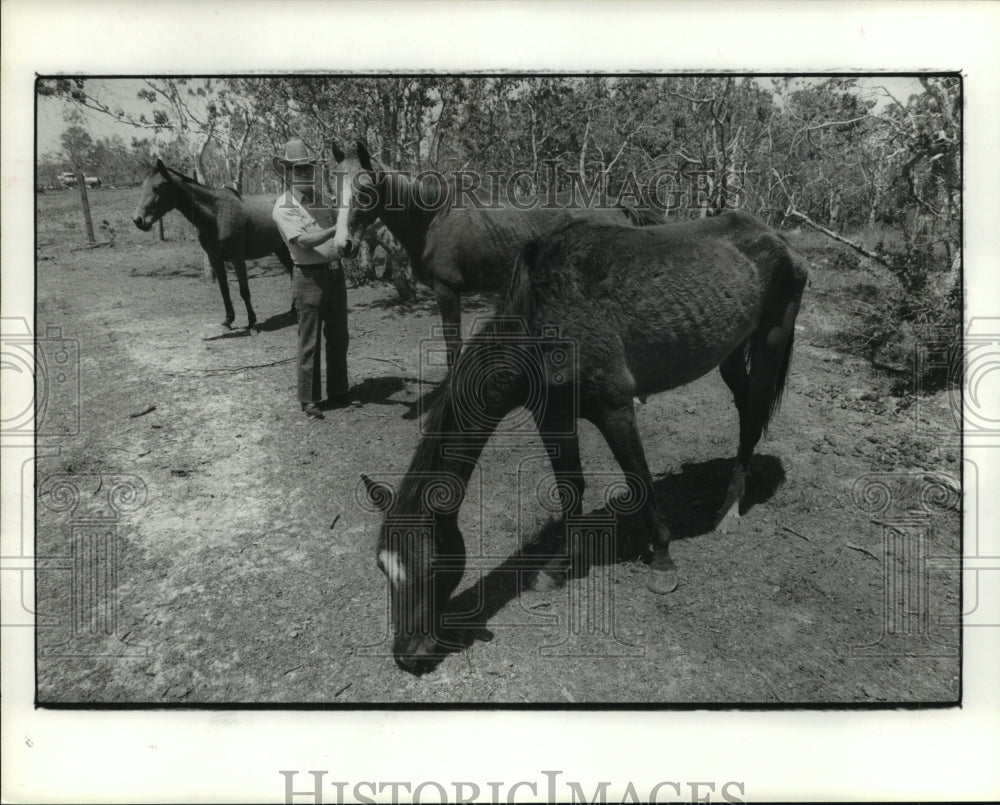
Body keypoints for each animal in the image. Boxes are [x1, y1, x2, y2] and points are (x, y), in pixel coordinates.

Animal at [132, 159, 292, 328]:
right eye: (142, 187)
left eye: (157, 187)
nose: (138, 220)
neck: (217, 216)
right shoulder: (215, 259)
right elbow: (224, 290)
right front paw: (228, 320)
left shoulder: (238, 259)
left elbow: (244, 290)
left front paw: (251, 321)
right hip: (281, 250)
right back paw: (292, 311)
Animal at [328, 141, 664, 362]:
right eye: (335, 189)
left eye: (365, 190)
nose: (343, 245)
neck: (432, 219)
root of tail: (616, 207)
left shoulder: (447, 290)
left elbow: (453, 342)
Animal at [364, 209, 808, 672]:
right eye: (383, 567)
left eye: (432, 562)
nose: (408, 654)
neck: (544, 322)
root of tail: (776, 238)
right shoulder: (553, 416)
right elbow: (570, 488)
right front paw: (561, 564)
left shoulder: (615, 409)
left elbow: (639, 481)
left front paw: (662, 561)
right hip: (730, 352)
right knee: (744, 406)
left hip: (770, 343)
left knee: (753, 416)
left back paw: (730, 507)